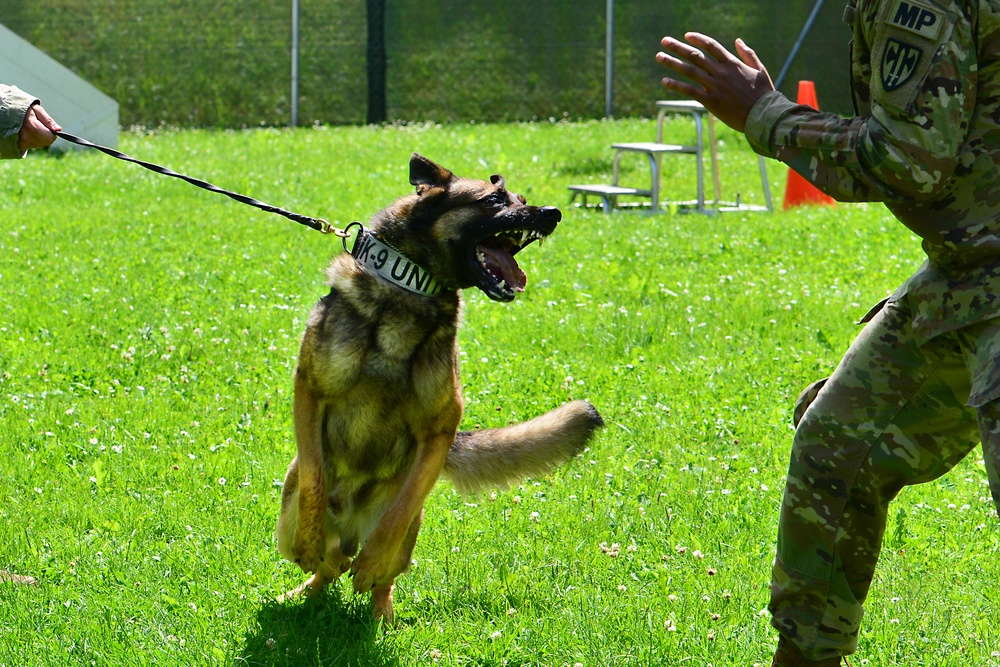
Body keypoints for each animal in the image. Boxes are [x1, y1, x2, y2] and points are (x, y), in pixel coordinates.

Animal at [276, 154, 600, 624]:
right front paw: (311, 540)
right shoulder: (311, 391)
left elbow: (398, 513)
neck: (410, 290)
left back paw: (379, 608)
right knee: (326, 562)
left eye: (523, 200)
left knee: (376, 571)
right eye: (494, 200)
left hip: (406, 537)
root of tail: (350, 528)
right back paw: (311, 577)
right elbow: (316, 481)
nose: (553, 213)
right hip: (286, 511)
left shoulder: (440, 429)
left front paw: (371, 563)